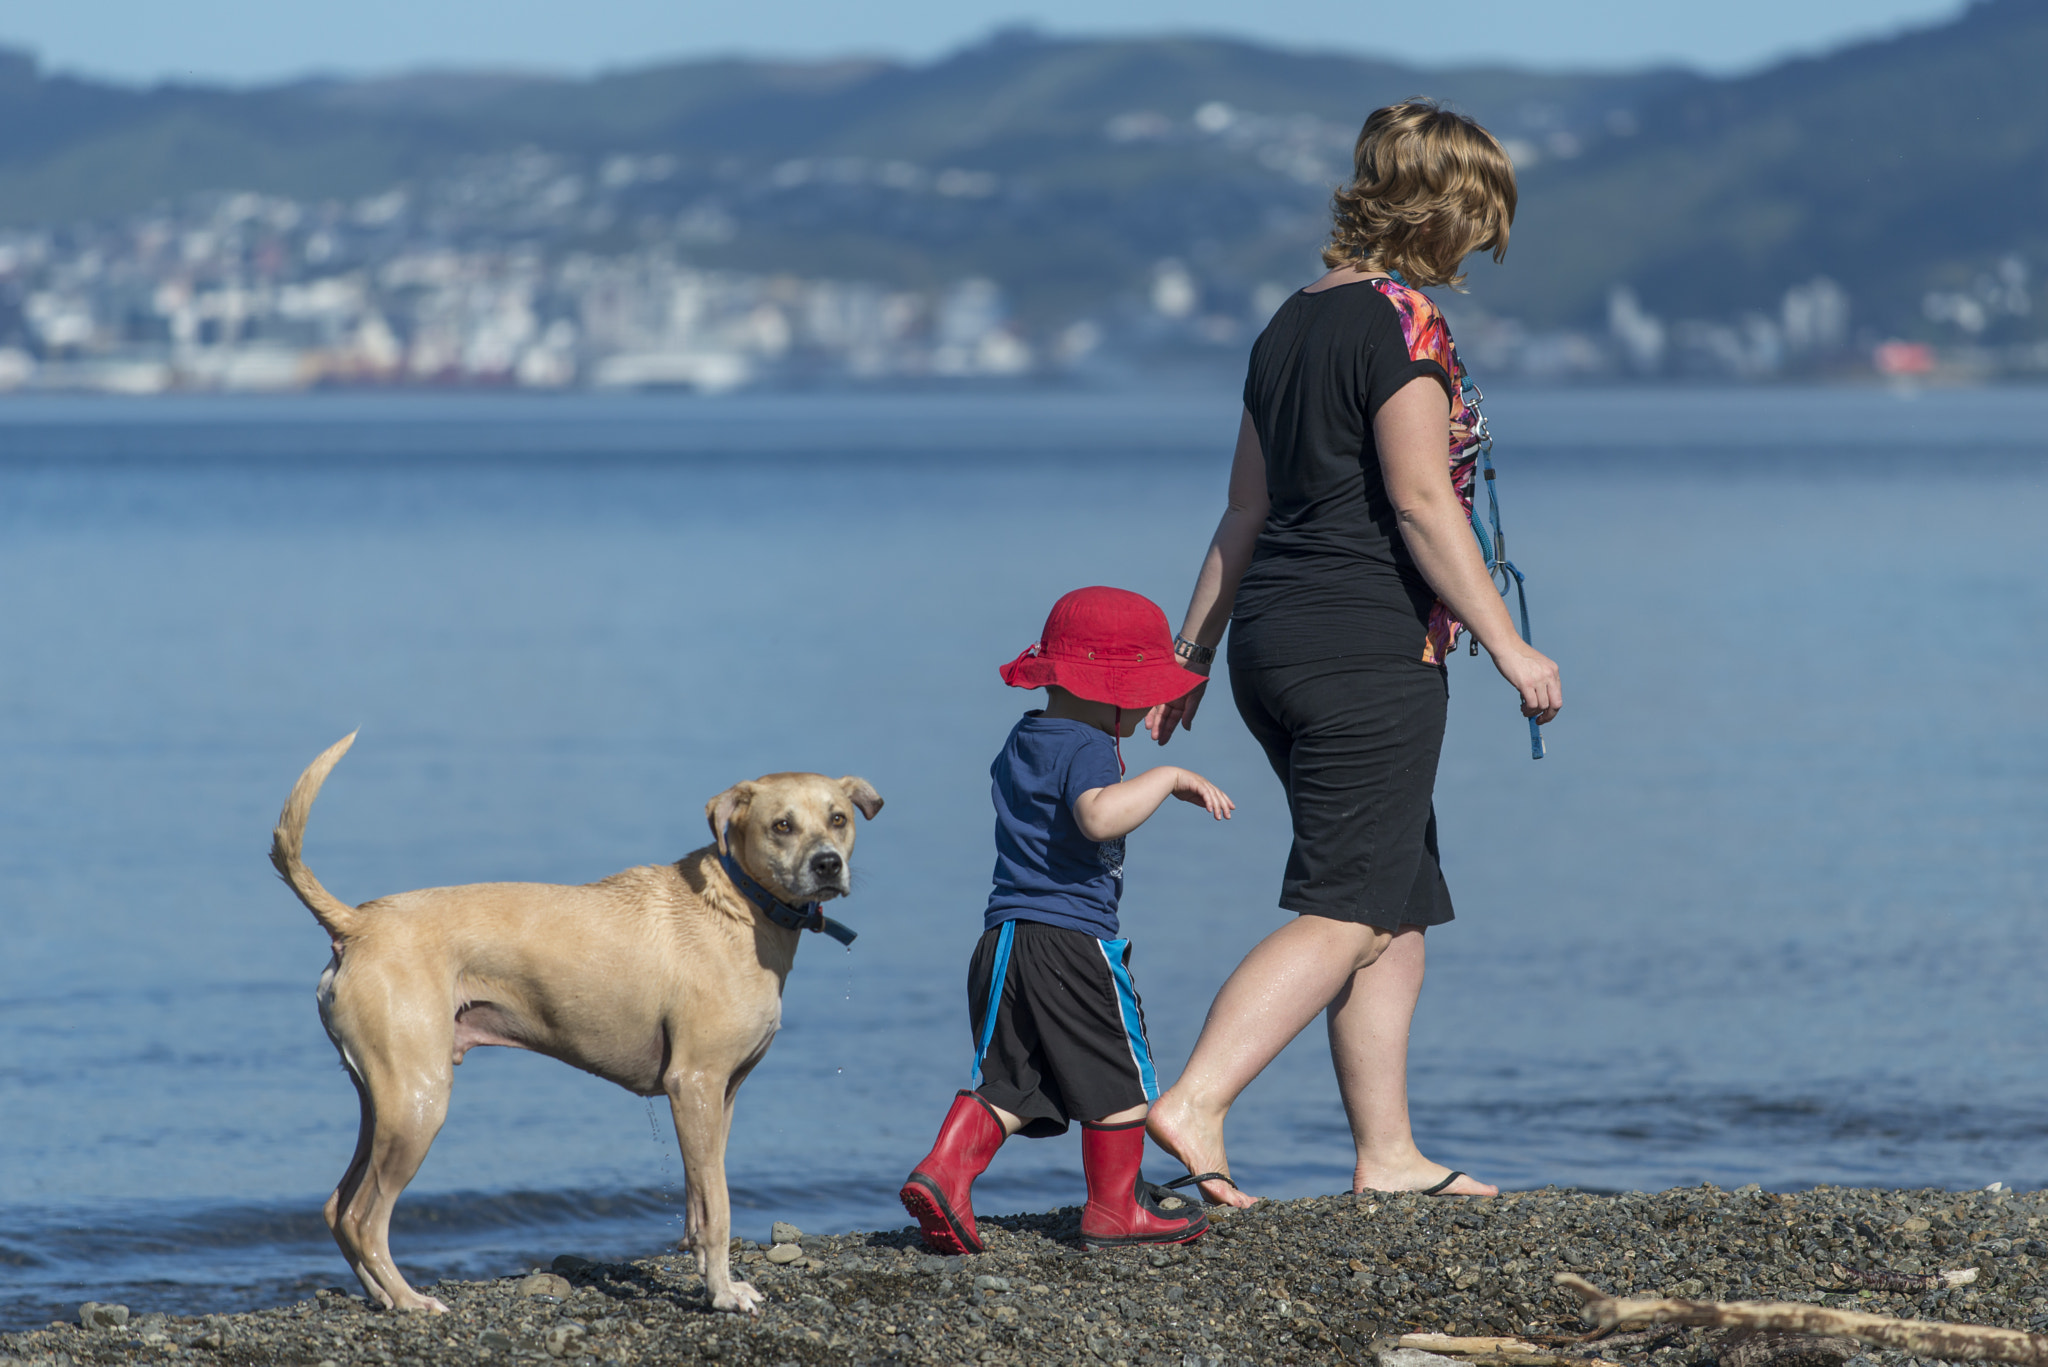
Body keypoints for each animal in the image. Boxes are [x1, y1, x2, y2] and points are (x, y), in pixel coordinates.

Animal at [272, 733, 880, 1319]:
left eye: (838, 819)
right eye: (782, 826)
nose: (828, 864)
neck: (737, 906)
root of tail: (357, 924)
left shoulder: (719, 1097)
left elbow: (700, 1200)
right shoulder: (695, 1083)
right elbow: (720, 1209)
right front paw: (723, 1294)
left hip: (382, 1100)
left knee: (337, 1207)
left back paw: (380, 1295)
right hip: (418, 1101)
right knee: (363, 1217)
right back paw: (407, 1300)